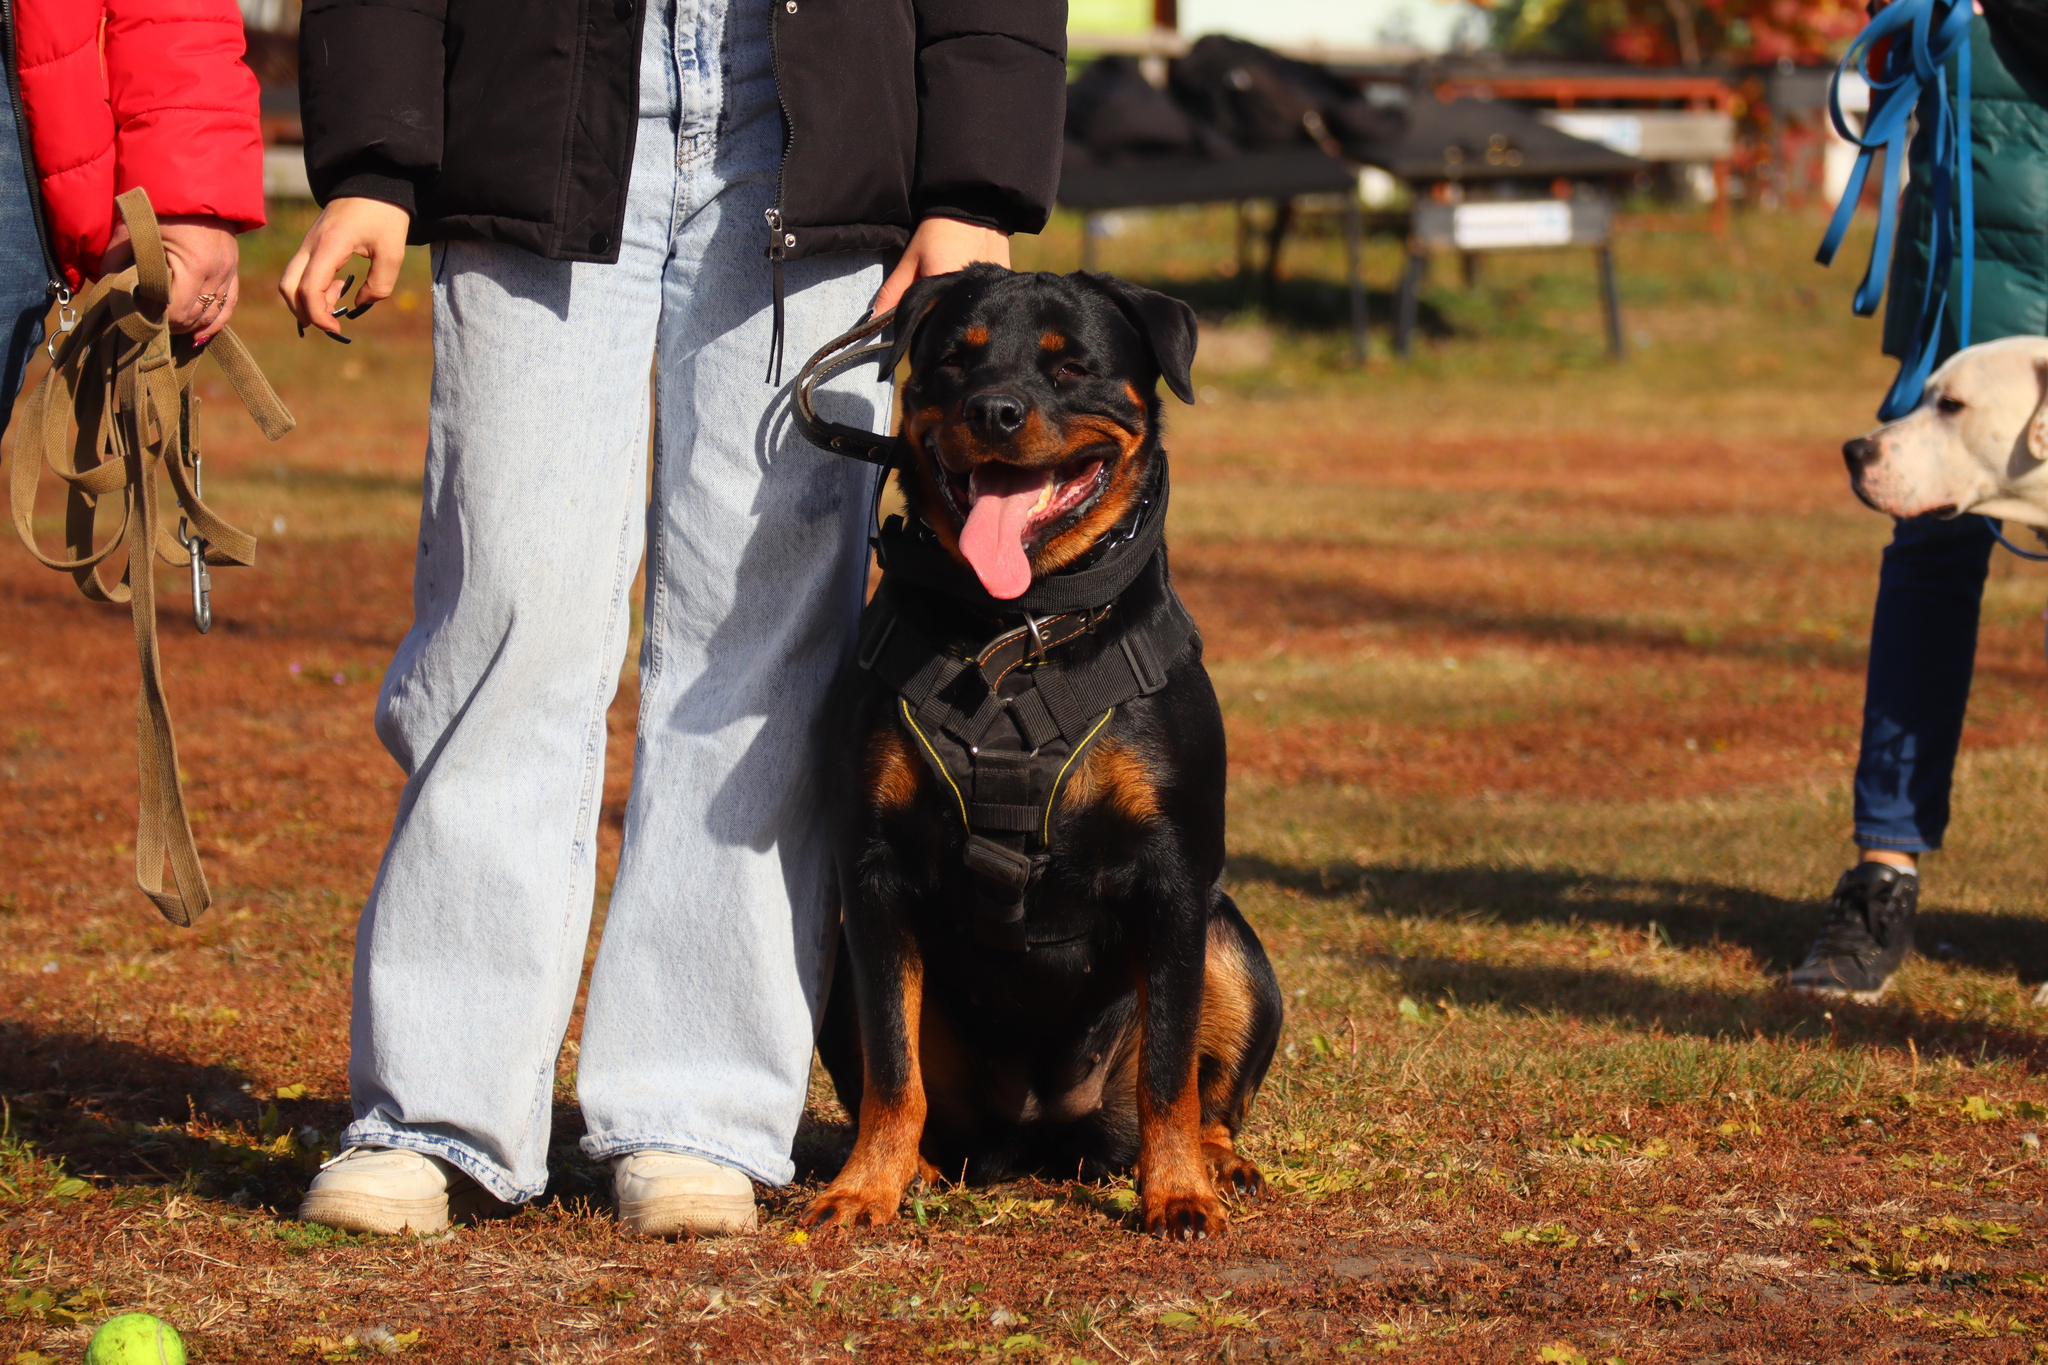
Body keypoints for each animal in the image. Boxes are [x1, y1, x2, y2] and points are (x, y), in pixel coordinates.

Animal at [802, 266, 1269, 1236]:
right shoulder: (873, 873)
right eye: (955, 358)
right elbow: (891, 1067)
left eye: (1072, 366)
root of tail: (1045, 1138)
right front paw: (866, 1186)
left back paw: (1216, 1161)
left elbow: (1169, 1068)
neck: (1014, 629)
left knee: (1203, 1092)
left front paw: (1177, 1192)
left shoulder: (1176, 878)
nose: (996, 409)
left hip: (1232, 942)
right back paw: (920, 1170)